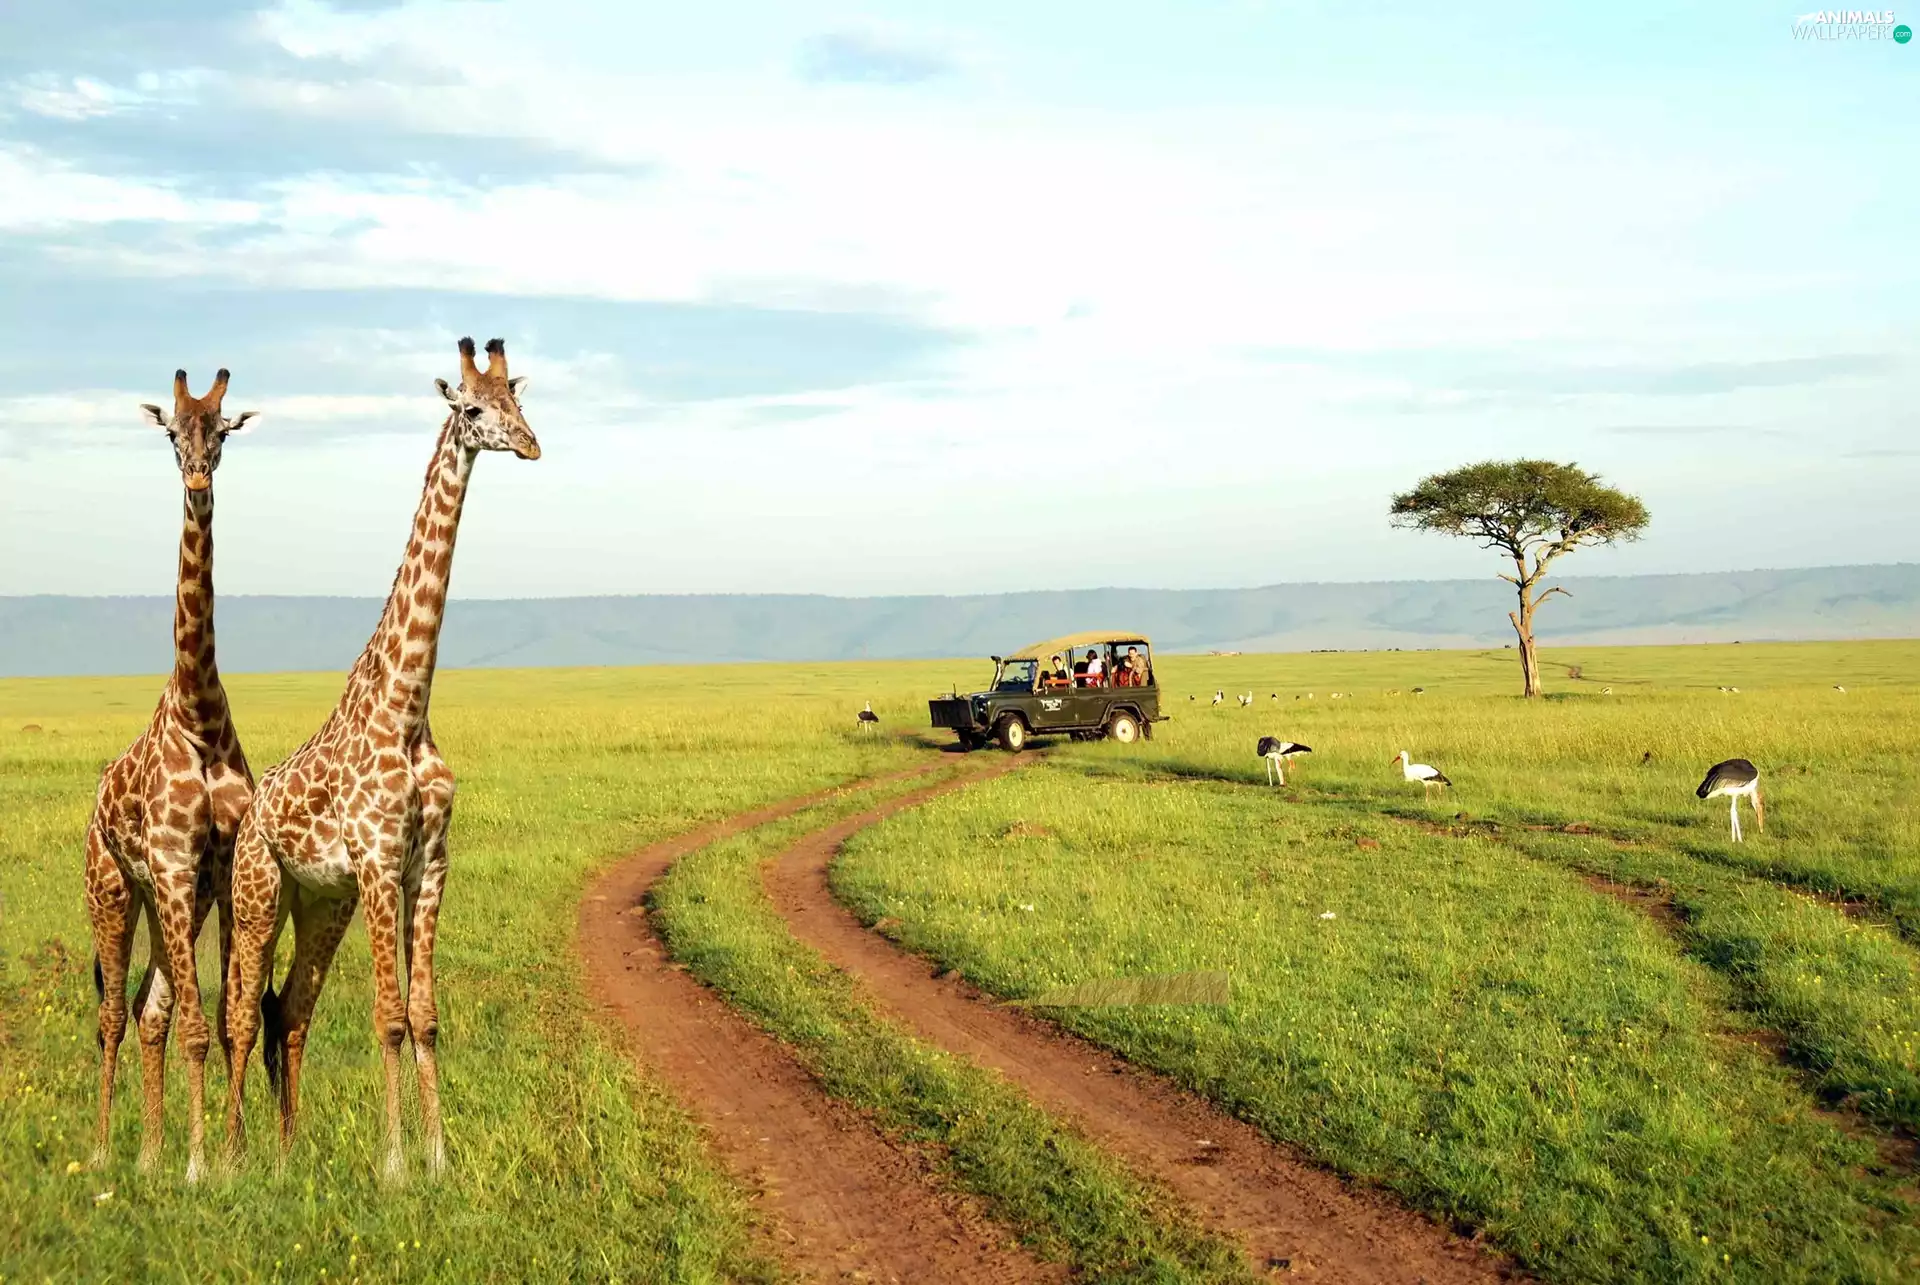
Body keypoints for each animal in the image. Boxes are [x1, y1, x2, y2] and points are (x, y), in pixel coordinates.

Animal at [224, 337, 539, 1180]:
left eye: (520, 400)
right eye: (474, 407)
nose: (531, 444)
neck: (407, 707)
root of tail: (250, 810)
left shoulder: (427, 863)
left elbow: (424, 1014)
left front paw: (438, 1157)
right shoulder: (376, 863)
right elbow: (388, 1015)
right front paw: (394, 1165)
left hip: (318, 902)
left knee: (288, 1007)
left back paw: (286, 1153)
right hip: (257, 893)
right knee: (240, 1009)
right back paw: (228, 1156)